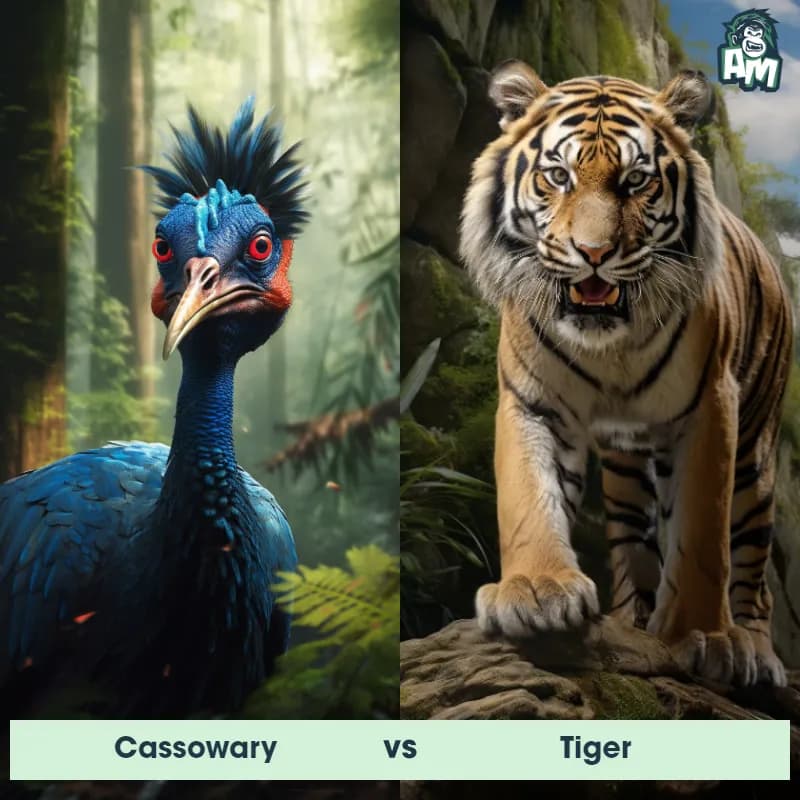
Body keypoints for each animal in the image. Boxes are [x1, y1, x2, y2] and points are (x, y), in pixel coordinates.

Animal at [459, 61, 793, 687]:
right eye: (558, 176)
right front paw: (535, 591)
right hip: (626, 469)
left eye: (636, 181)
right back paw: (633, 620)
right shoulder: (533, 401)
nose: (593, 253)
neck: (606, 345)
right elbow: (527, 497)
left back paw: (756, 651)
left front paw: (704, 635)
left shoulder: (710, 408)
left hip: (756, 458)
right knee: (635, 545)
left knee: (754, 568)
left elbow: (703, 534)